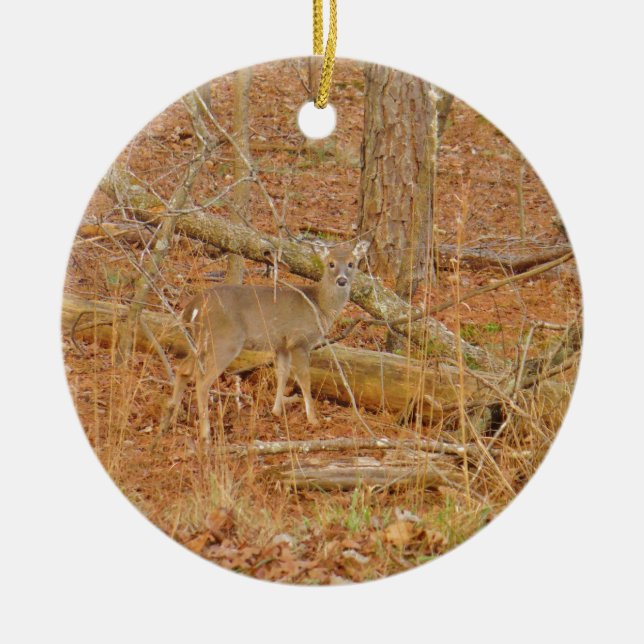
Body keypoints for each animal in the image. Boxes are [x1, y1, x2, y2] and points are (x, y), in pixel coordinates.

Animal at [160, 239, 370, 441]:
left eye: (351, 263)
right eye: (330, 263)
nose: (341, 280)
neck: (319, 306)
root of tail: (193, 306)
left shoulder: (281, 345)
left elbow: (282, 373)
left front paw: (276, 411)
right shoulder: (299, 340)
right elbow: (304, 379)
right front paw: (313, 419)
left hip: (199, 341)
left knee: (184, 369)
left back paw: (169, 421)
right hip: (225, 341)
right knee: (202, 381)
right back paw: (205, 433)